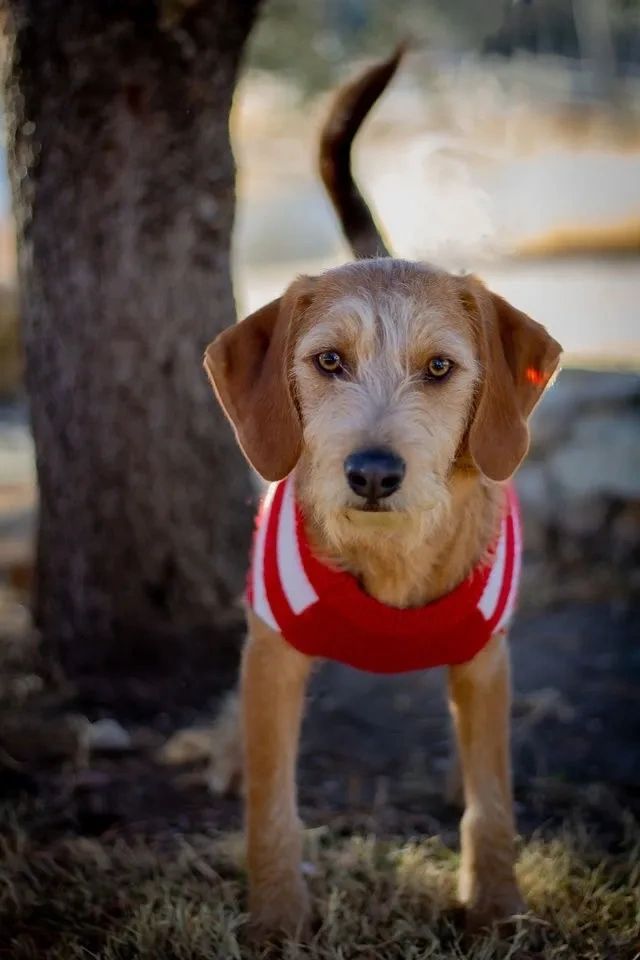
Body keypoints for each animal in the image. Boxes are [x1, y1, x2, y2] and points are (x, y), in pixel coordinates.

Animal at [204, 50, 560, 936]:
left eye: (439, 367)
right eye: (329, 361)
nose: (371, 472)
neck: (393, 553)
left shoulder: (485, 662)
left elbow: (492, 799)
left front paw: (497, 908)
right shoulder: (274, 655)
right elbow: (271, 807)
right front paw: (276, 918)